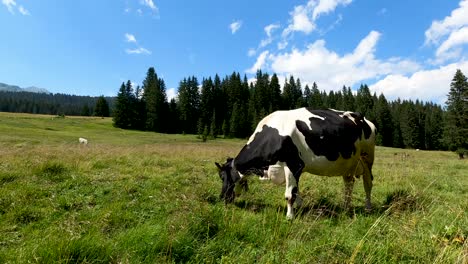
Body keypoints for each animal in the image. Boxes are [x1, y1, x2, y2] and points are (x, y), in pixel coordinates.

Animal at [216, 107, 376, 219]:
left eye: (224, 177)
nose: (222, 197)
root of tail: (363, 118)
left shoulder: (294, 165)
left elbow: (289, 194)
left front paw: (290, 216)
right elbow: (296, 191)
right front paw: (299, 207)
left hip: (367, 157)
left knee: (368, 183)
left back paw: (368, 207)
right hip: (348, 163)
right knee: (349, 184)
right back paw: (345, 207)